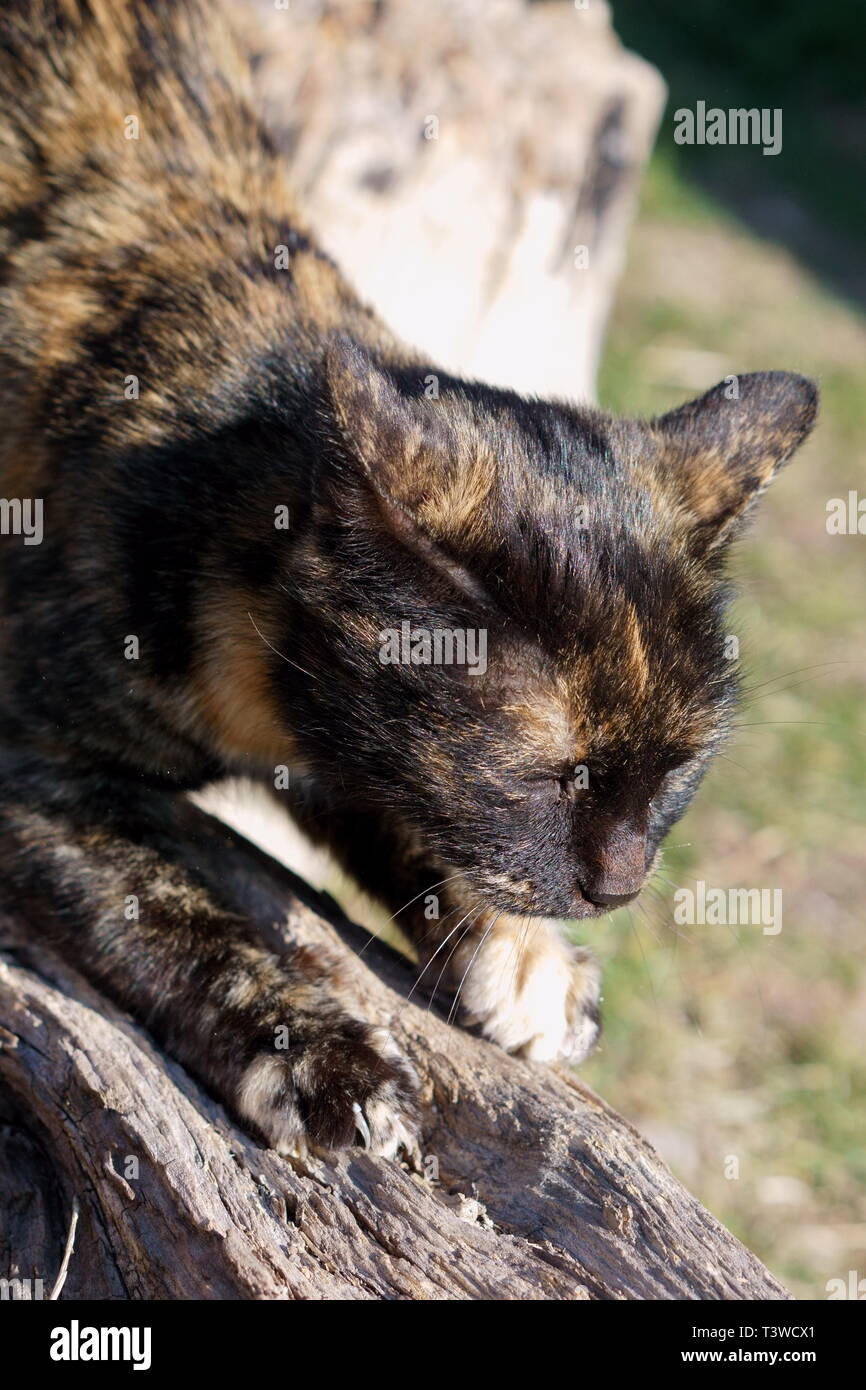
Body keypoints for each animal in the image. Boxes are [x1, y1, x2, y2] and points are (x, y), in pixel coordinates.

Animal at [0, 0, 817, 1150]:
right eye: (547, 772)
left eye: (679, 772)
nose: (619, 883)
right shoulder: (31, 758)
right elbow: (157, 905)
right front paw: (308, 1047)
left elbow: (405, 811)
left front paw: (516, 956)